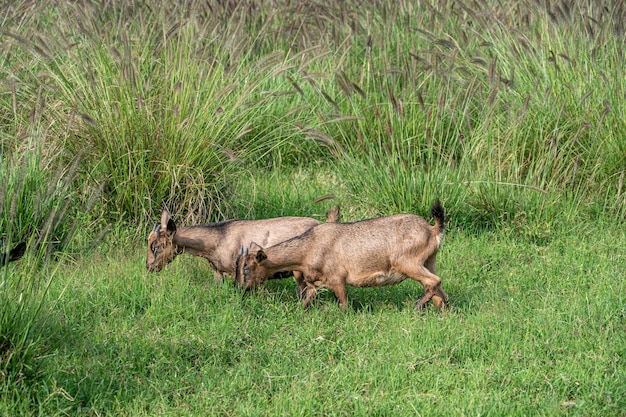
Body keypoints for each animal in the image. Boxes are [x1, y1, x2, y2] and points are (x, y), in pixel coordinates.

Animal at [235, 200, 448, 310]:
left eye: (246, 268)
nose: (241, 290)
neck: (308, 248)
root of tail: (432, 230)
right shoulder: (313, 283)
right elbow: (306, 300)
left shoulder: (337, 279)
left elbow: (344, 304)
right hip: (429, 261)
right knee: (440, 291)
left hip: (407, 262)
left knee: (433, 281)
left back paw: (417, 306)